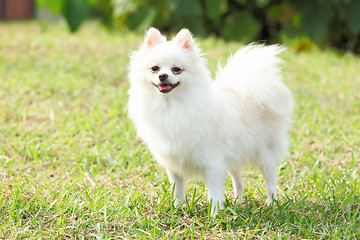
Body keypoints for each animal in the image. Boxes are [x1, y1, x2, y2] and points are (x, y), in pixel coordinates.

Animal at [128, 27, 294, 215]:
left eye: (177, 69)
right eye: (154, 68)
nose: (163, 76)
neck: (171, 106)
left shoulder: (213, 164)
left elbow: (214, 194)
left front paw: (214, 215)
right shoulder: (174, 165)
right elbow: (177, 189)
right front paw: (179, 208)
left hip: (266, 155)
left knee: (270, 182)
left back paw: (272, 205)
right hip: (234, 155)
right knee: (239, 182)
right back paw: (237, 202)